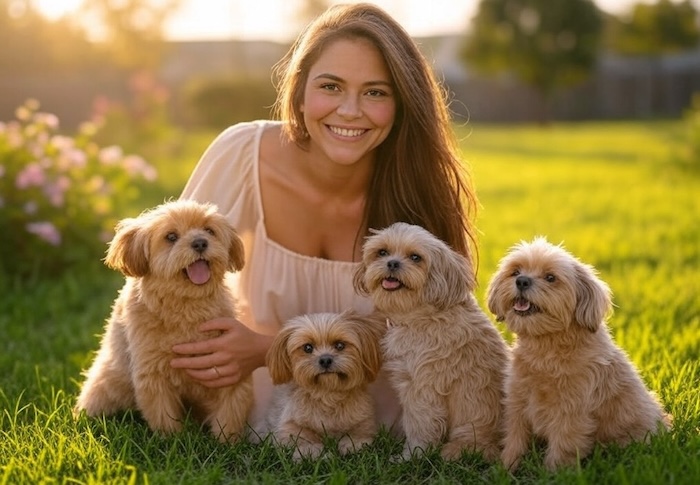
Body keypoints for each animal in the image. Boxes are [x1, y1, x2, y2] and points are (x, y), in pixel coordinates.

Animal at [74, 199, 253, 440]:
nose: (200, 243)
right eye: (171, 236)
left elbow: (232, 408)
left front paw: (227, 441)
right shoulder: (152, 372)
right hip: (107, 386)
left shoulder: (227, 367)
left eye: (209, 230)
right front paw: (172, 440)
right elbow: (163, 414)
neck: (186, 305)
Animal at [262, 312, 386, 460]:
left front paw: (351, 443)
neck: (327, 394)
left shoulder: (364, 418)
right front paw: (310, 449)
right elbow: (301, 434)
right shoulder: (288, 423)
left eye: (340, 345)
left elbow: (359, 432)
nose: (325, 360)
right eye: (308, 348)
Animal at [356, 221, 508, 460]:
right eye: (382, 252)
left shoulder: (423, 387)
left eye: (415, 257)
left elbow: (420, 425)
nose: (392, 263)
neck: (422, 316)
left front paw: (411, 456)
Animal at [486, 236, 672, 470]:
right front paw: (506, 468)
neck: (547, 348)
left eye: (550, 278)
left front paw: (553, 472)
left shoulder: (570, 413)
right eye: (516, 271)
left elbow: (562, 447)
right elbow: (514, 439)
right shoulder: (517, 401)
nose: (522, 281)